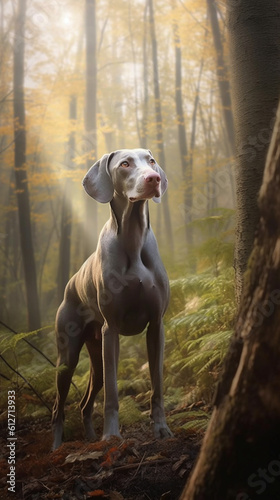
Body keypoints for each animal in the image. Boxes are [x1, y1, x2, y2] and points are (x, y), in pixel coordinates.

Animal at [51, 147, 172, 450]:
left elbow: (157, 386)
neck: (133, 236)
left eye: (151, 161)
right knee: (58, 406)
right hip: (68, 356)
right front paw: (112, 435)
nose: (153, 178)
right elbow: (113, 395)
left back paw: (91, 438)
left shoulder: (156, 326)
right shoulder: (112, 330)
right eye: (125, 164)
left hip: (96, 355)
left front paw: (162, 429)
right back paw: (57, 447)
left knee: (84, 404)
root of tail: (69, 284)